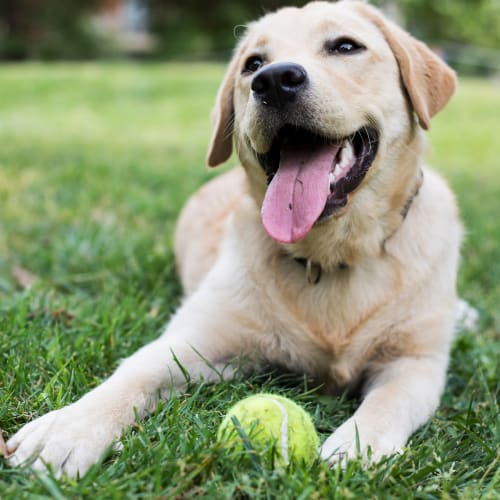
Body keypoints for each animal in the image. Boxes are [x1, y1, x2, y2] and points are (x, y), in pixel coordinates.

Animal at [7, 0, 460, 476]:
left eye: (345, 46)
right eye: (253, 64)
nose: (274, 81)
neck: (328, 254)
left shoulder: (416, 363)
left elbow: (389, 402)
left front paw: (357, 447)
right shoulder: (199, 340)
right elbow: (136, 371)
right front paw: (67, 429)